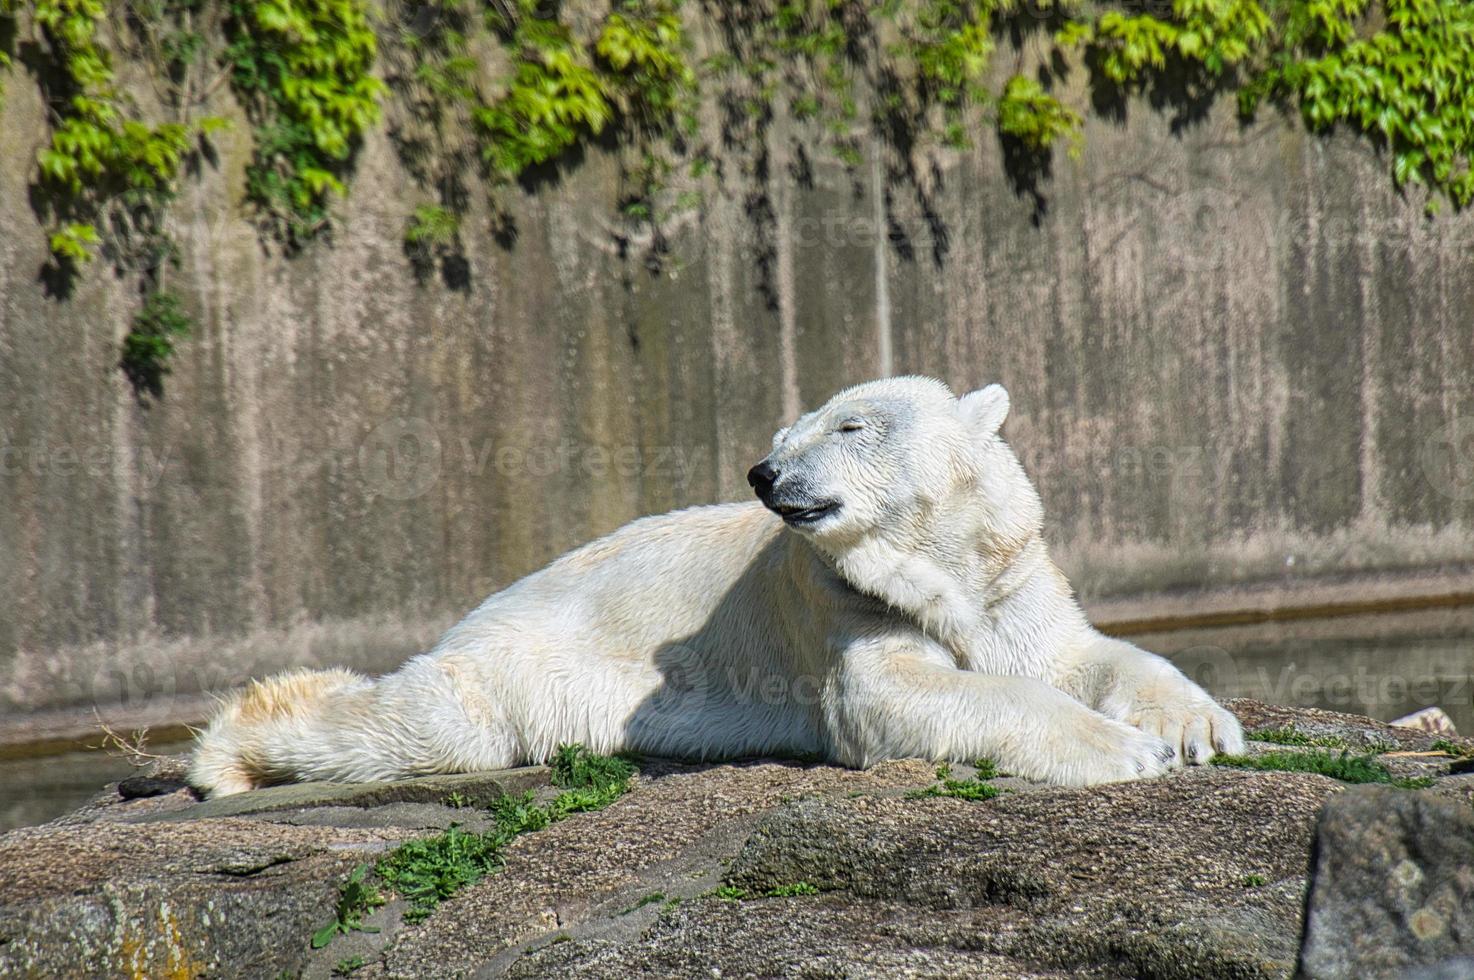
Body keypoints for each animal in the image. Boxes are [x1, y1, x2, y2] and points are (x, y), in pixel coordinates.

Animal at [187, 374, 1244, 795]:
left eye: (851, 425)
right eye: (785, 433)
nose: (766, 474)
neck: (941, 560)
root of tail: (477, 614)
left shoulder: (1009, 574)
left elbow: (1079, 655)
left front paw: (1199, 727)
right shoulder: (839, 603)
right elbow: (899, 694)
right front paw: (1123, 750)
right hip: (515, 666)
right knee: (421, 726)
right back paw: (223, 757)